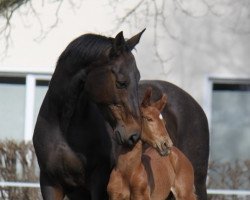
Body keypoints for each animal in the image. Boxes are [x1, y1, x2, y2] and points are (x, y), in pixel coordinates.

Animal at [33, 30, 146, 199]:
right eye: (121, 82)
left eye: (138, 78)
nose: (134, 134)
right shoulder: (50, 182)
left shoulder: (99, 181)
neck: (63, 127)